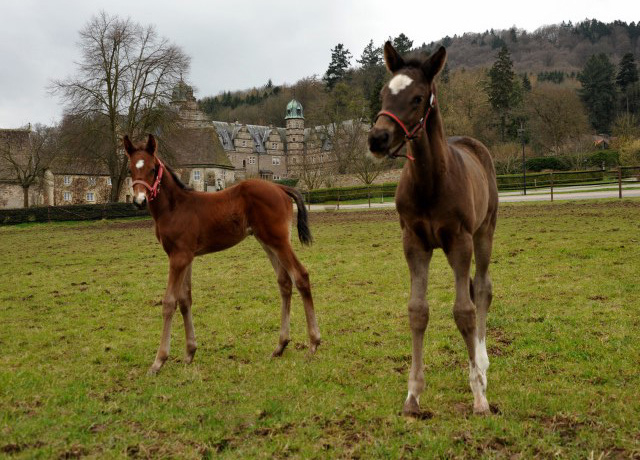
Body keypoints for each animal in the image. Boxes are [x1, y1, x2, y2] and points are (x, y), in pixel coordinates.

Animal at [122, 133, 320, 374]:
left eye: (152, 169)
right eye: (131, 169)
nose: (139, 201)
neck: (175, 207)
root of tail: (280, 188)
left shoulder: (178, 257)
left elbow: (169, 302)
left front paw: (159, 361)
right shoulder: (186, 256)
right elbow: (185, 299)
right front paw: (189, 353)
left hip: (279, 241)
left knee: (301, 276)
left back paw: (313, 343)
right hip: (268, 242)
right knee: (284, 282)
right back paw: (280, 346)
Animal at [370, 44, 500, 416]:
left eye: (417, 98)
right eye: (383, 93)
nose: (377, 138)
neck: (430, 181)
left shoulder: (460, 241)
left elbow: (464, 311)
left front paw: (479, 396)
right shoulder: (414, 242)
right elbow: (417, 310)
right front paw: (413, 396)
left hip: (484, 233)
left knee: (482, 288)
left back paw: (482, 363)